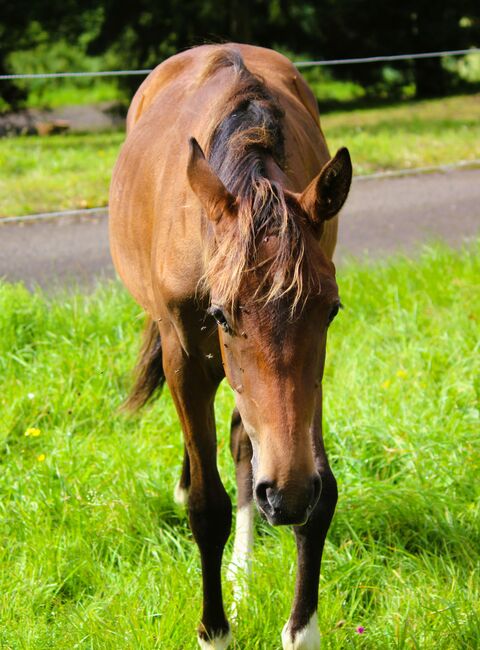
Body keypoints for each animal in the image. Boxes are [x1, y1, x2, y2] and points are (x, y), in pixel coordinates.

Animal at [109, 43, 352, 644]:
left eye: (331, 311)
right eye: (220, 313)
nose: (286, 495)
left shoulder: (307, 385)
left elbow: (320, 494)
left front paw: (301, 631)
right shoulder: (185, 361)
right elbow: (206, 506)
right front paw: (214, 632)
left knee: (246, 442)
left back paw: (242, 566)